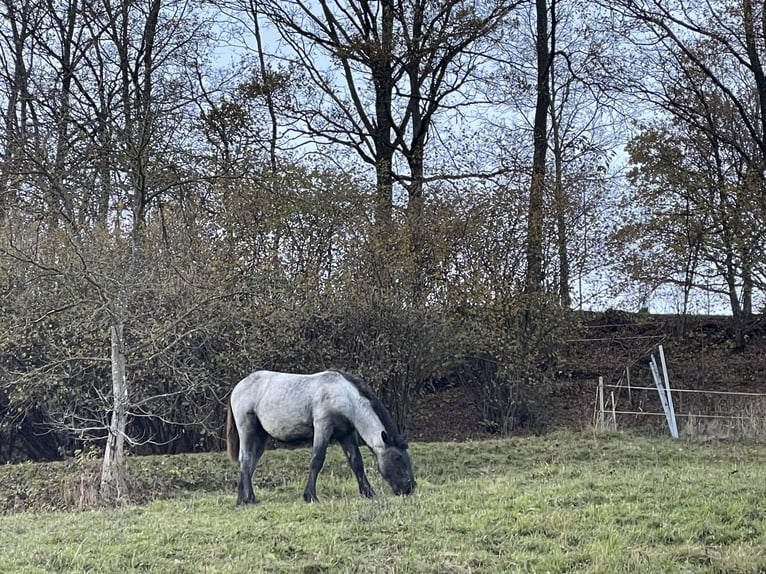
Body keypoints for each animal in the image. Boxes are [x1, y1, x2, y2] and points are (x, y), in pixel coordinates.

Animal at [228, 372, 416, 506]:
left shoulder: (346, 434)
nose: (410, 487)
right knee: (245, 460)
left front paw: (368, 492)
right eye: (397, 457)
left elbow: (356, 462)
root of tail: (238, 387)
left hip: (261, 436)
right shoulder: (323, 427)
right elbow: (317, 460)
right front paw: (310, 496)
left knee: (250, 463)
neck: (344, 396)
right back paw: (249, 498)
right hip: (247, 429)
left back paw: (241, 499)